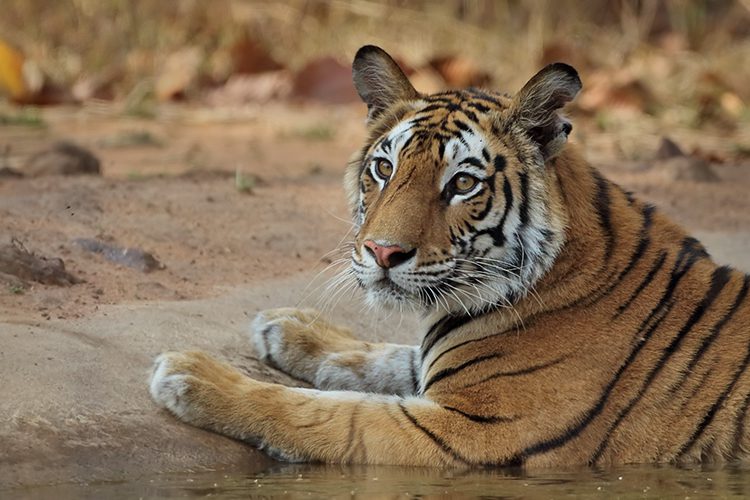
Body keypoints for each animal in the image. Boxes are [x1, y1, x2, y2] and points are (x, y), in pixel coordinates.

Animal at [148, 45, 750, 466]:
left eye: (462, 183)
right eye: (384, 168)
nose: (382, 251)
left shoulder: (470, 433)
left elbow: (325, 412)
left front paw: (193, 374)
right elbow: (386, 357)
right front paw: (291, 327)